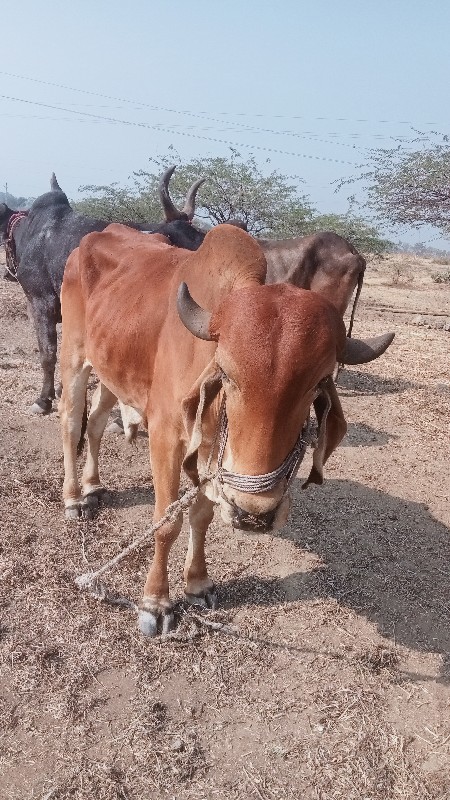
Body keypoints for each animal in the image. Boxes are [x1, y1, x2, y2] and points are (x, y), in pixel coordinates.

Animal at [59, 225, 394, 636]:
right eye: (227, 373)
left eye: (317, 384)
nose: (255, 513)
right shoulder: (166, 437)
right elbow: (166, 523)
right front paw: (155, 603)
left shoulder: (211, 454)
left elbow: (201, 517)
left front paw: (197, 584)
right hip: (74, 356)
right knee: (71, 422)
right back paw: (74, 498)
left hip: (111, 370)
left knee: (94, 424)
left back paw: (93, 487)